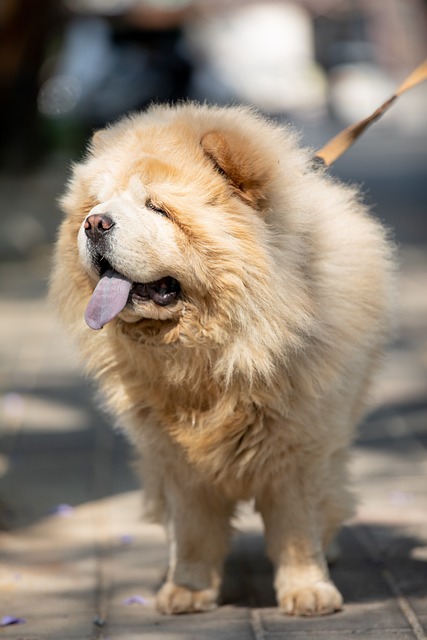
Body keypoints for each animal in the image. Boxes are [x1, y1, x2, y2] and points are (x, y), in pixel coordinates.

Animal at [50, 102, 394, 616]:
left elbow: (297, 528)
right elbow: (193, 529)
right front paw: (187, 590)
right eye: (97, 203)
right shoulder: (177, 458)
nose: (94, 223)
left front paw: (308, 591)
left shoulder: (297, 444)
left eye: (157, 207)